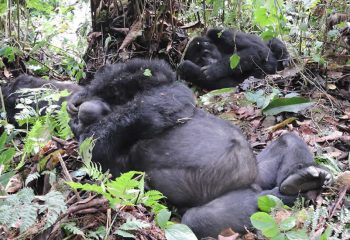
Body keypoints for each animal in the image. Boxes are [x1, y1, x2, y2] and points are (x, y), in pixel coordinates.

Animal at [66, 59, 334, 239]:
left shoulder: (144, 86)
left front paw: (84, 94)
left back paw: (303, 178)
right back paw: (288, 194)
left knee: (288, 140)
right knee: (200, 219)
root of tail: (254, 185)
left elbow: (155, 77)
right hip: (245, 198)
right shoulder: (99, 149)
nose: (79, 116)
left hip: (260, 173)